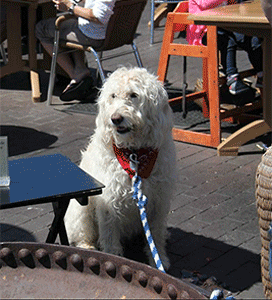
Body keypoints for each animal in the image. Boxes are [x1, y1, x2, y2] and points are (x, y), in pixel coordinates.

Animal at [65, 66, 177, 270]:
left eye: (134, 95)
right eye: (113, 96)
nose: (115, 119)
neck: (134, 154)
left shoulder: (159, 201)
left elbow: (156, 234)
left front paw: (159, 259)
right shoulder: (108, 200)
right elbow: (109, 234)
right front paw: (112, 257)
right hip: (81, 211)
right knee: (81, 233)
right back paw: (87, 246)